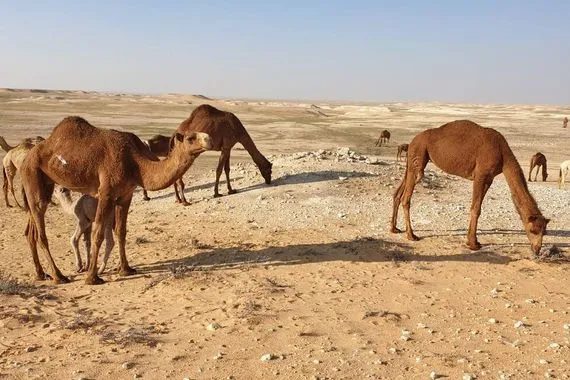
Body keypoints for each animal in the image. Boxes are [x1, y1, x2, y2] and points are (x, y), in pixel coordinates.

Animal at [20, 116, 212, 284]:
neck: (135, 163)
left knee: (31, 230)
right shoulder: (106, 193)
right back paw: (59, 276)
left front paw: (125, 269)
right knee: (41, 231)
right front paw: (92, 277)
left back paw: (41, 274)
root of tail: (26, 157)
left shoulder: (125, 195)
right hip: (32, 173)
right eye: (190, 138)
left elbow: (121, 231)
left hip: (42, 183)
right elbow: (98, 234)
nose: (209, 139)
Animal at [388, 119, 548, 255]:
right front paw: (473, 244)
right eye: (533, 230)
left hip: (412, 162)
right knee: (406, 197)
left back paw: (394, 228)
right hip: (419, 157)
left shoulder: (489, 179)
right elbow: (476, 208)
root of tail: (412, 141)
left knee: (398, 193)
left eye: (544, 231)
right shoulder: (480, 175)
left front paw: (474, 241)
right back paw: (411, 235)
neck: (503, 155)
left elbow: (478, 207)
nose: (537, 250)